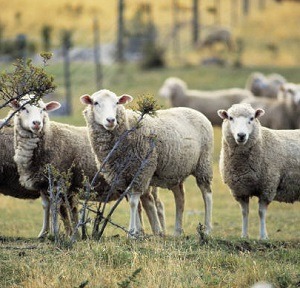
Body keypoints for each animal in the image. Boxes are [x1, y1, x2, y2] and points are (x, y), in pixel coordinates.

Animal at [11, 94, 165, 236]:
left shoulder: (58, 182)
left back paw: (155, 232)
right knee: (142, 205)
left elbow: (59, 209)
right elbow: (47, 206)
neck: (49, 137)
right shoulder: (43, 184)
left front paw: (59, 234)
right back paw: (143, 232)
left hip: (140, 175)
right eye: (23, 108)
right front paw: (44, 233)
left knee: (148, 203)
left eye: (43, 109)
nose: (37, 123)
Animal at [81, 89, 214, 237]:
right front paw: (137, 233)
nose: (111, 120)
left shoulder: (141, 172)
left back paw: (207, 230)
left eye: (116, 102)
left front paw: (132, 233)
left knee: (207, 194)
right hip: (175, 171)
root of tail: (195, 111)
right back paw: (177, 232)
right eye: (95, 102)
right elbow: (134, 202)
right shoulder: (122, 177)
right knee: (180, 197)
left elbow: (133, 203)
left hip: (203, 163)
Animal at [218, 102, 300, 240]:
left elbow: (261, 212)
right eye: (230, 118)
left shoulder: (267, 186)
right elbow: (244, 212)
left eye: (252, 118)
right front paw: (244, 235)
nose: (241, 135)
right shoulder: (240, 190)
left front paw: (263, 237)